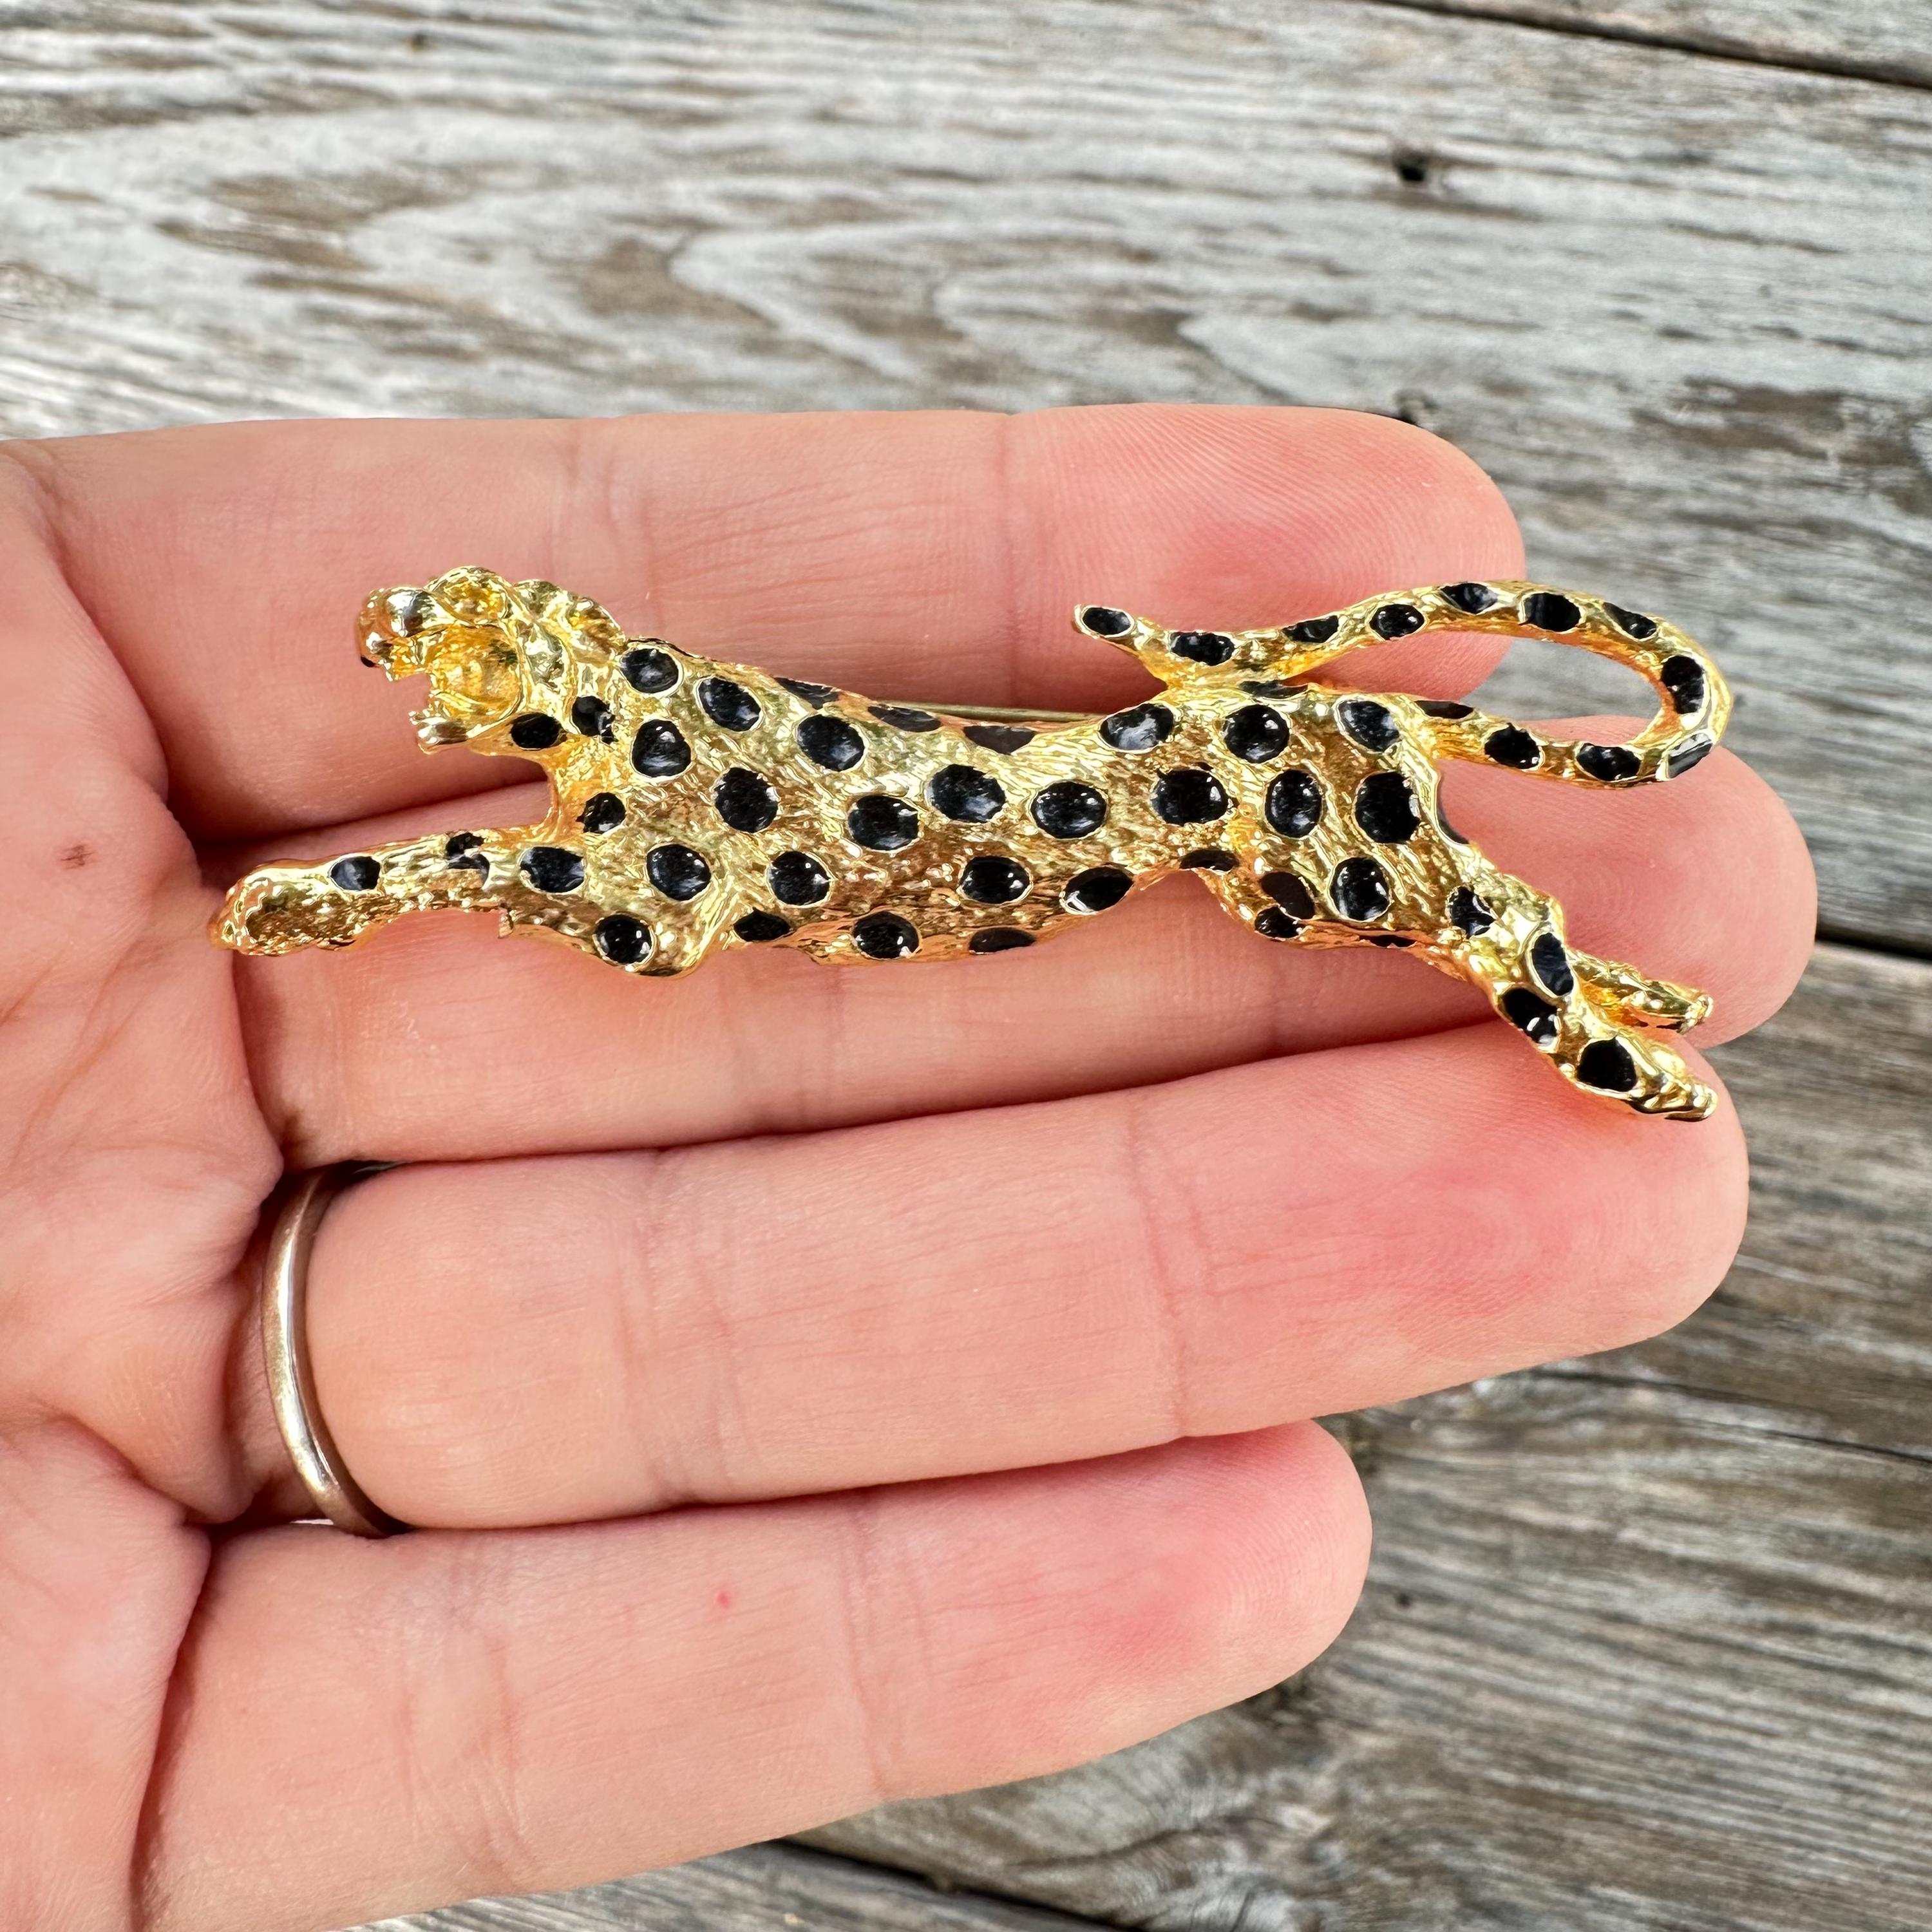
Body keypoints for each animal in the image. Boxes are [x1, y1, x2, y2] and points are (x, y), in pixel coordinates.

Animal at [215, 565, 1732, 1119]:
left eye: (450, 612)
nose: (368, 628)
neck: (600, 702)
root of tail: (1361, 696)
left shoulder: (639, 911)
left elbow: (445, 855)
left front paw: (283, 904)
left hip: (1359, 883)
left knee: (1512, 927)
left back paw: (1639, 1070)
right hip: (1297, 900)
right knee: (1529, 906)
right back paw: (1660, 1001)